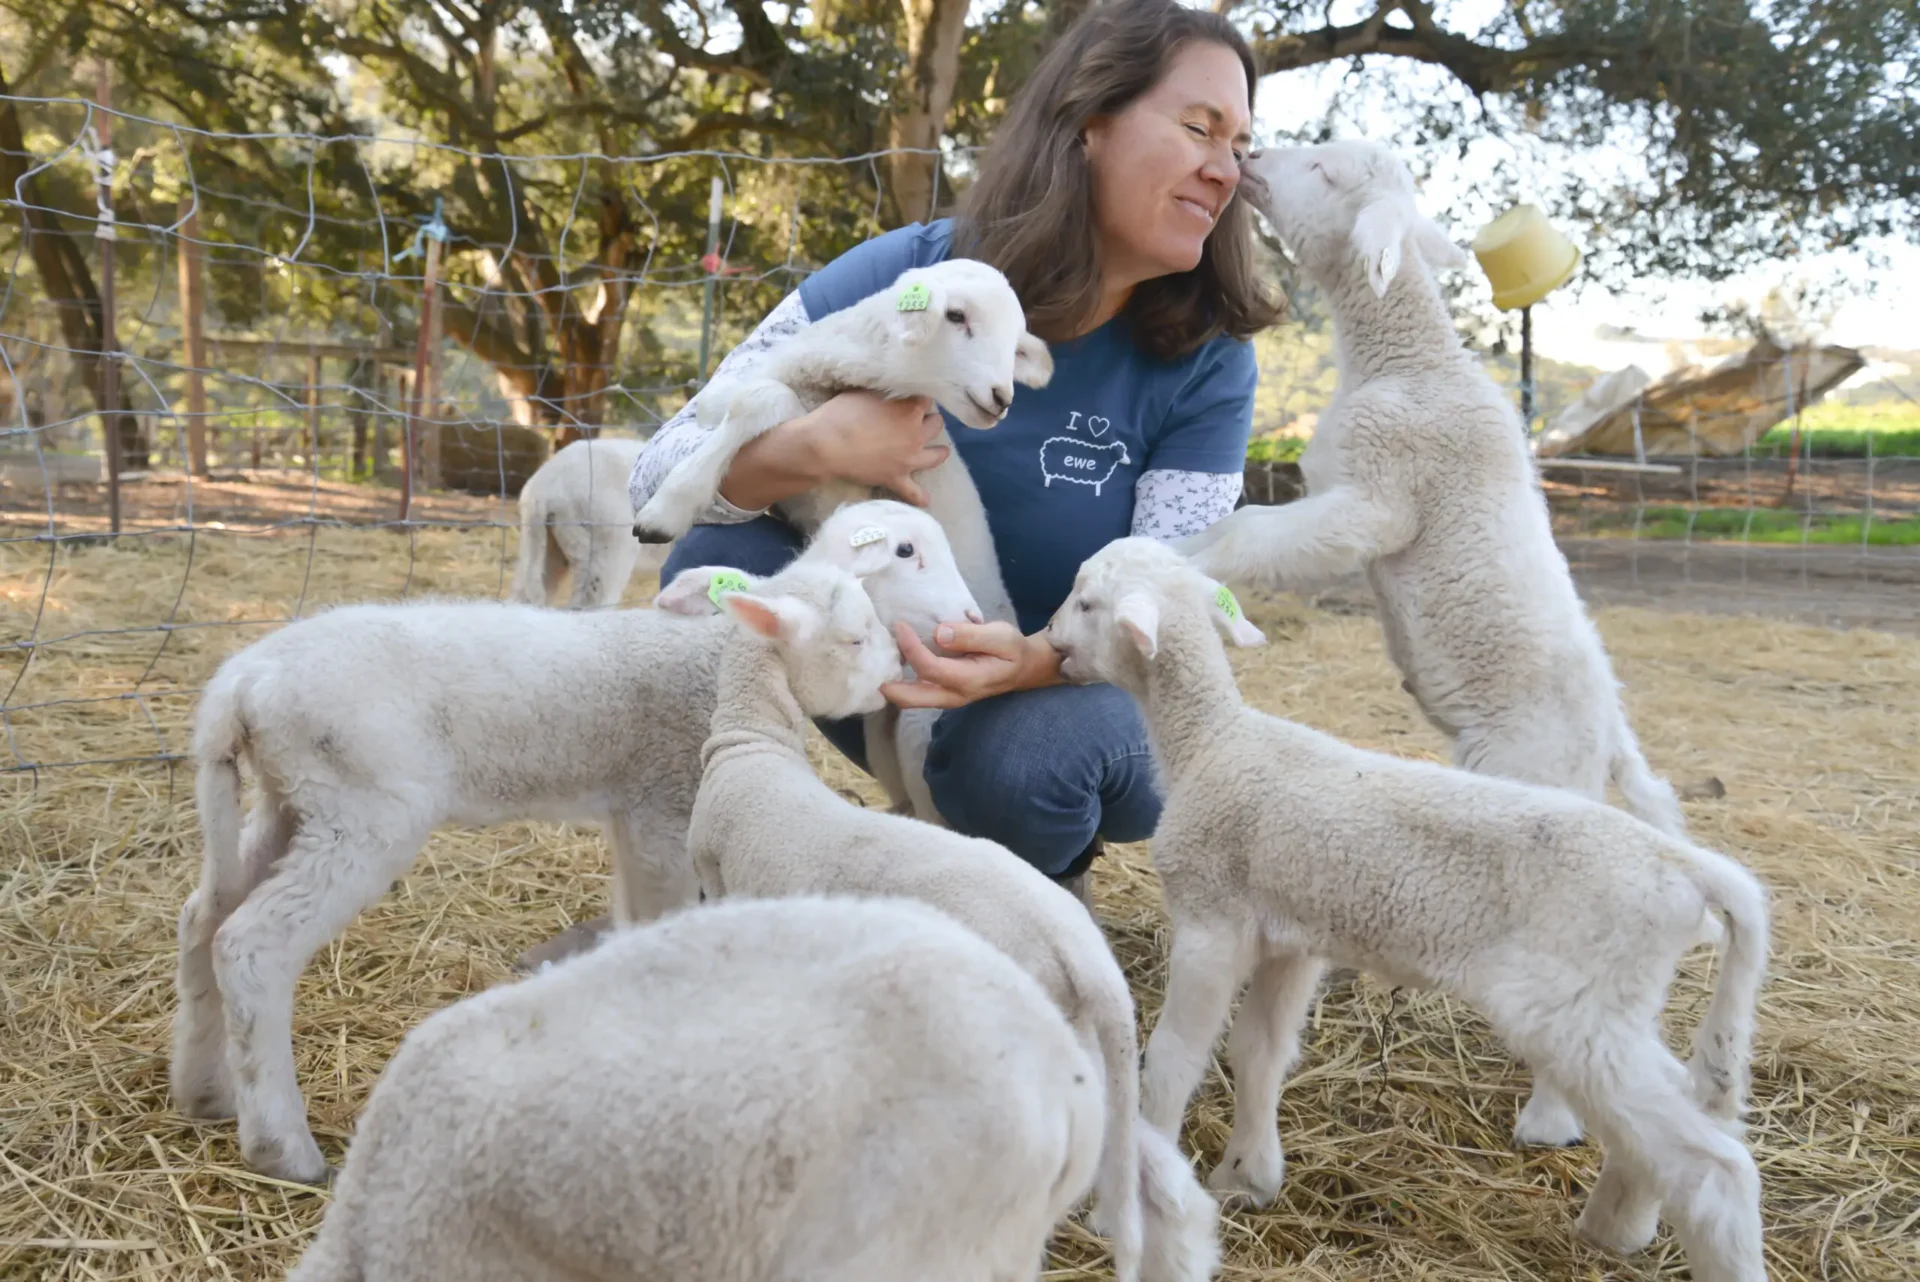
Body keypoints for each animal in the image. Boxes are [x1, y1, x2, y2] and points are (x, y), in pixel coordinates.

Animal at [171, 498, 980, 1185]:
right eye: (905, 554)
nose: (967, 620)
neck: (717, 648)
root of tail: (239, 686)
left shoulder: (634, 809)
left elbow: (630, 918)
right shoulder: (664, 803)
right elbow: (660, 918)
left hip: (292, 800)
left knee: (202, 919)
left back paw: (206, 1090)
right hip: (362, 807)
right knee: (251, 944)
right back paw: (283, 1148)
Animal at [680, 560, 1221, 1282]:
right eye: (855, 639)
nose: (898, 664)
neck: (753, 747)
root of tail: (1078, 948)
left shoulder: (717, 884)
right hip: (1073, 1046)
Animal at [1046, 537, 1770, 1282]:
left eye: (1087, 603)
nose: (1048, 640)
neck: (1211, 742)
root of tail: (1687, 870)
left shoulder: (1211, 921)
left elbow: (1172, 1061)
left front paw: (1127, 1204)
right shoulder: (1292, 938)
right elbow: (1260, 1053)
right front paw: (1249, 1176)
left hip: (1577, 1008)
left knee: (1715, 1167)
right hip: (1616, 1001)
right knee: (1678, 1108)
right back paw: (1616, 1226)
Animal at [1175, 140, 1690, 1145]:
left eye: (1327, 171)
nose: (1249, 154)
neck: (1405, 361)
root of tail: (1606, 743)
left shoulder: (1375, 498)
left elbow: (1256, 533)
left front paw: (1180, 557)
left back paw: (1549, 1121)